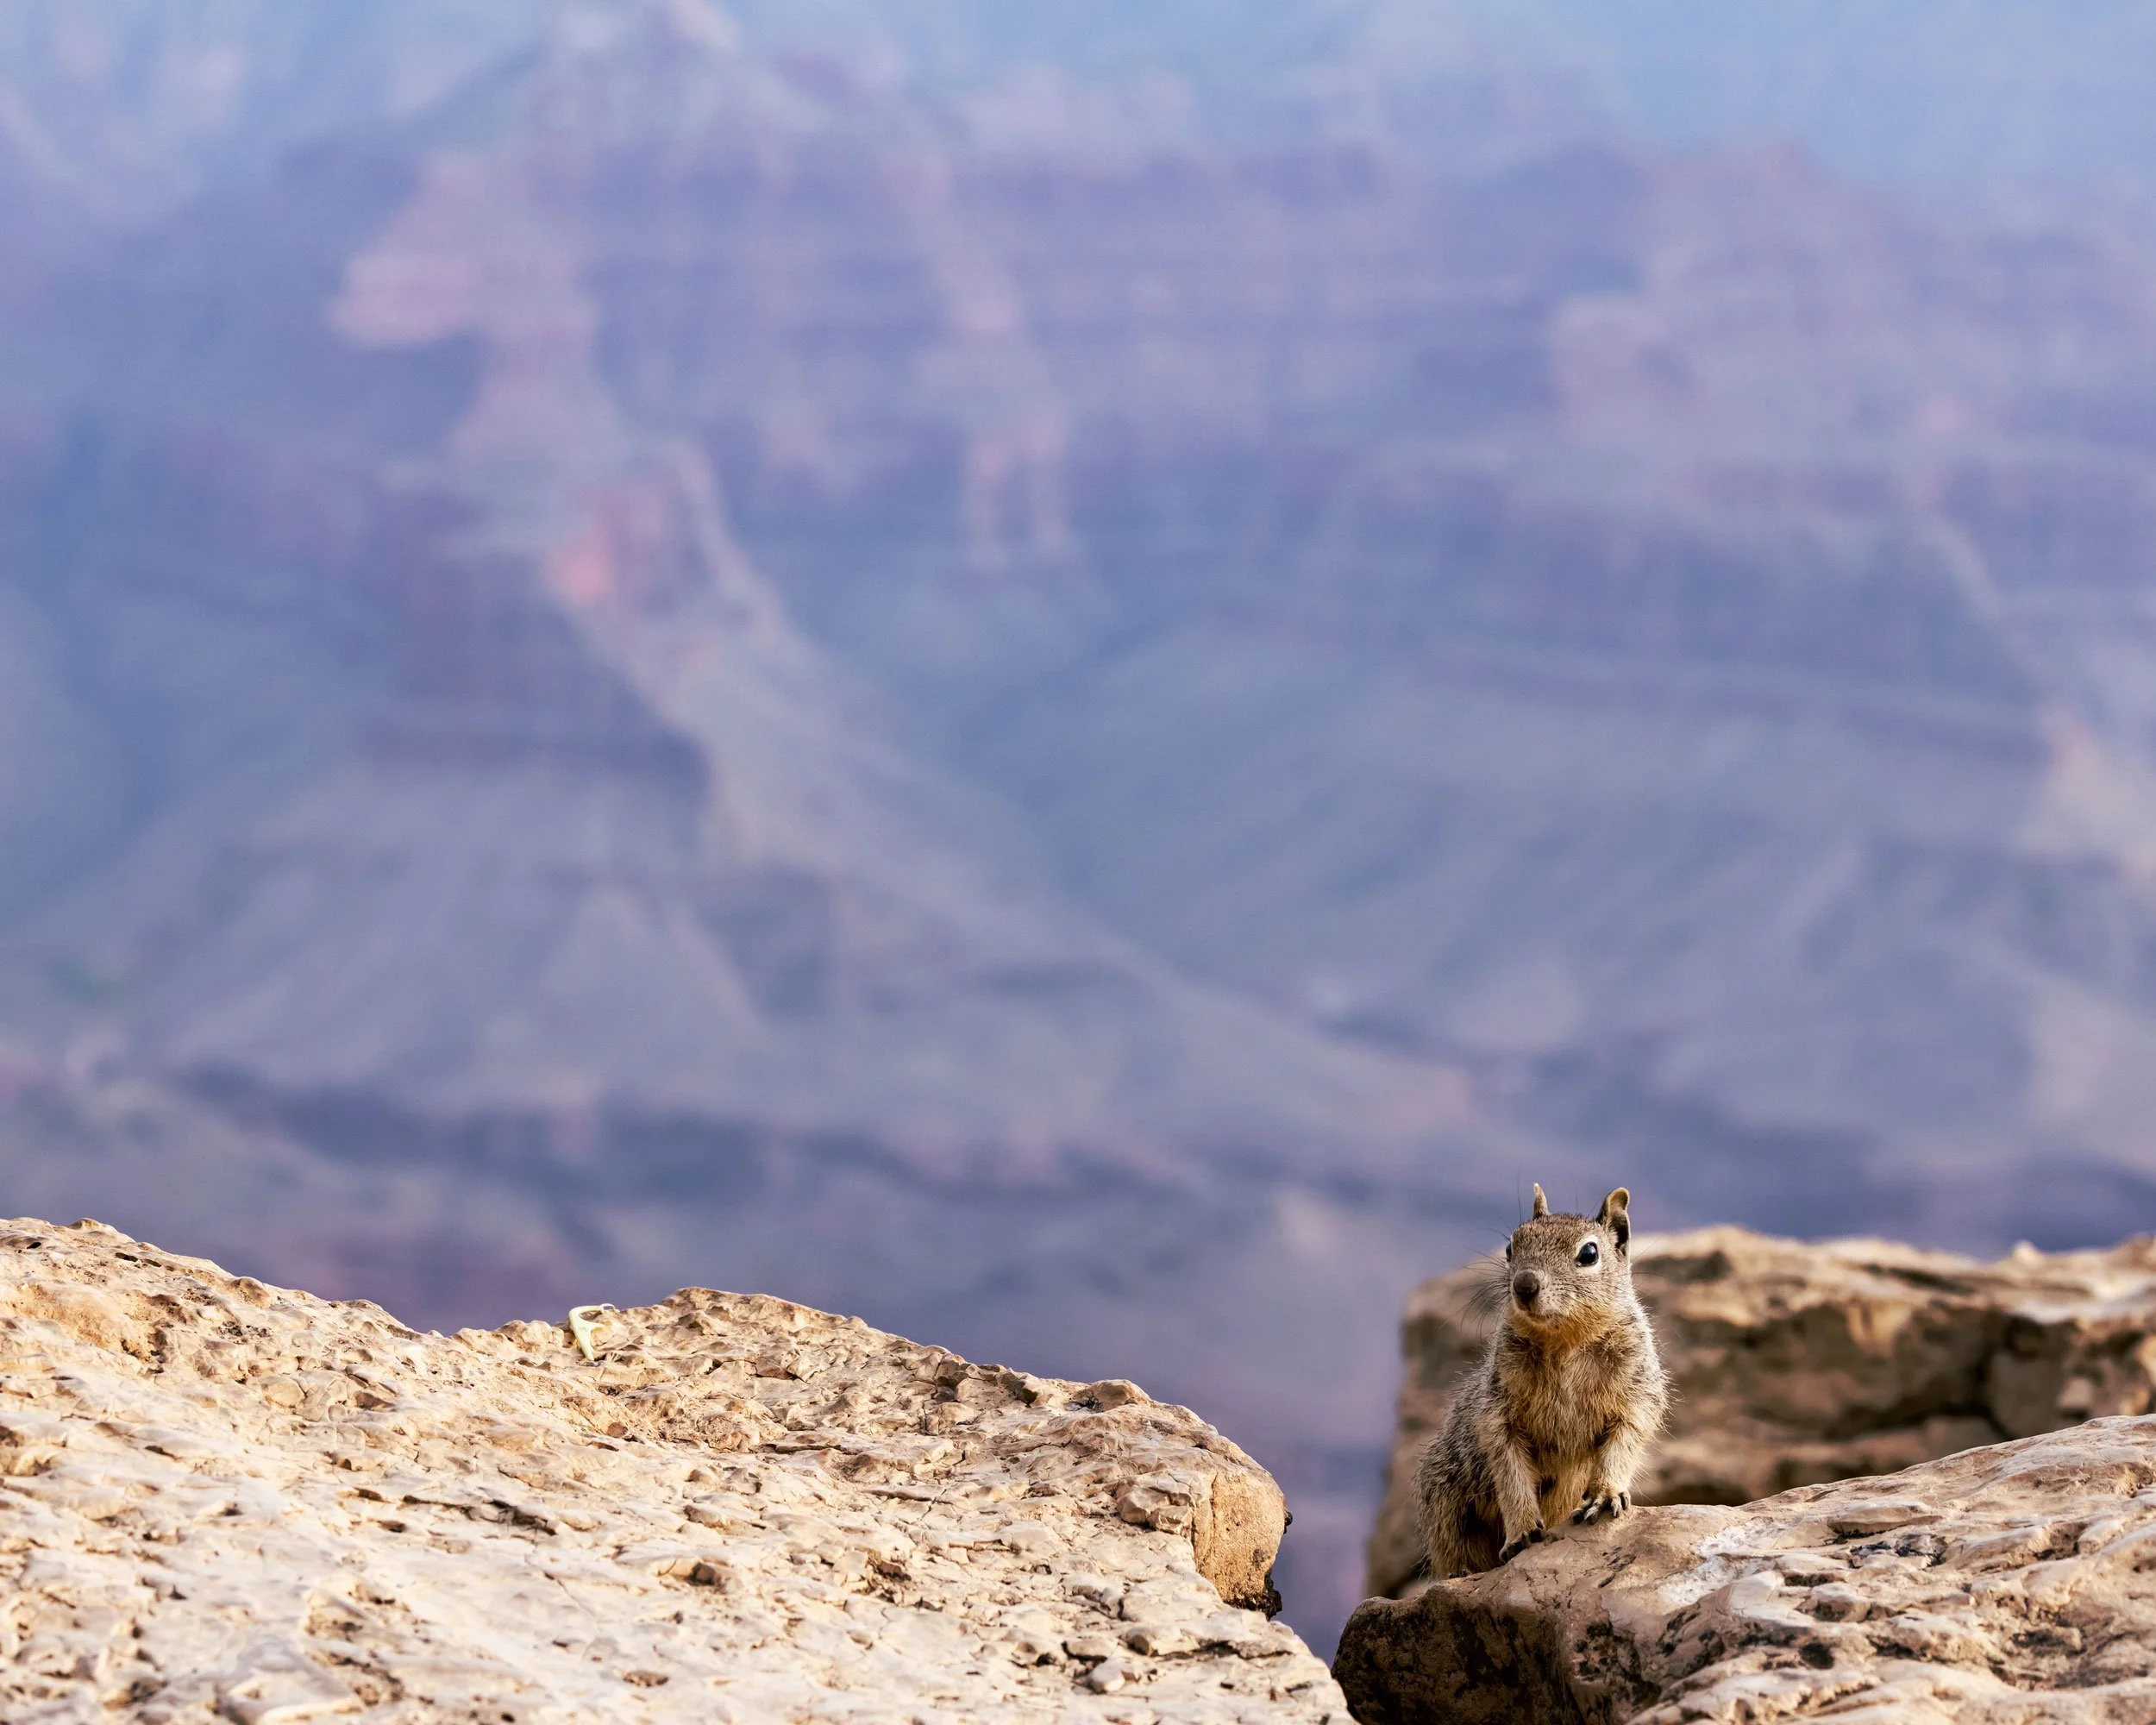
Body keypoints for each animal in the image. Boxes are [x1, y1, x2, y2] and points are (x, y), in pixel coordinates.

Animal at [1416, 1183, 1667, 1577]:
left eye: (1589, 1253)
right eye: (1510, 1247)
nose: (1524, 1285)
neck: (1565, 1342)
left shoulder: (1637, 1397)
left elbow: (1623, 1444)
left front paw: (1605, 1494)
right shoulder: (1498, 1415)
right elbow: (1511, 1475)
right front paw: (1521, 1530)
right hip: (1446, 1502)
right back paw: (1462, 1573)